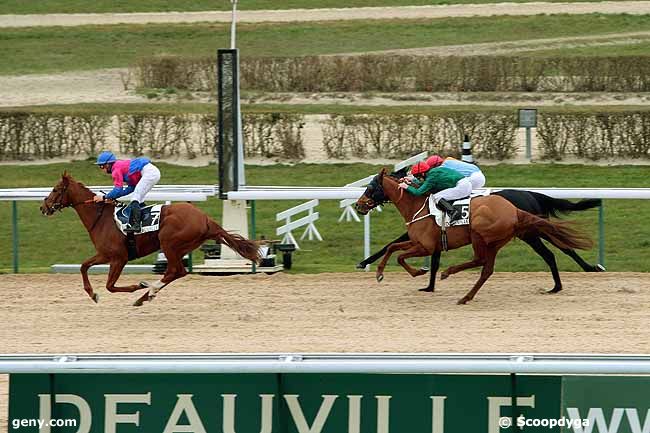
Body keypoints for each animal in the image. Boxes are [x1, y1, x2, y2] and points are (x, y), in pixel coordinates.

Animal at [39, 170, 258, 306]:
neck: (101, 218)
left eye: (56, 190)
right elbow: (84, 266)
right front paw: (93, 294)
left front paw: (138, 285)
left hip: (169, 243)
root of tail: (206, 219)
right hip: (180, 247)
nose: (43, 207)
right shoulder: (104, 255)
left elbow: (110, 286)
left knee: (175, 271)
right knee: (176, 272)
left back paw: (148, 291)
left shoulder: (119, 258)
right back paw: (146, 296)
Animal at [354, 168, 592, 304]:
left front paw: (418, 272)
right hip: (502, 239)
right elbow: (392, 248)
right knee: (487, 268)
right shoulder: (417, 241)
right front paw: (379, 273)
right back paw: (466, 296)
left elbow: (399, 255)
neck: (418, 206)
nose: (359, 205)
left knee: (482, 260)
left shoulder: (425, 246)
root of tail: (516, 208)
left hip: (487, 234)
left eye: (371, 187)